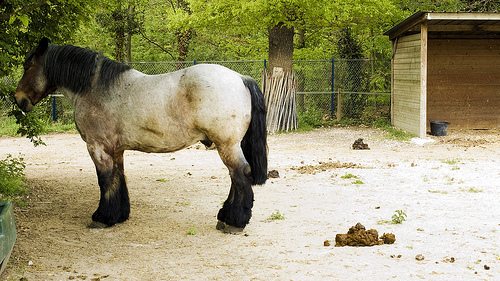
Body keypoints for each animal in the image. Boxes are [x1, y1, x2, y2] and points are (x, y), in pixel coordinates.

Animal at [13, 38, 268, 231]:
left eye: (28, 66)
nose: (18, 99)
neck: (95, 88)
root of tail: (240, 78)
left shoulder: (97, 148)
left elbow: (104, 180)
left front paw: (101, 217)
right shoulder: (115, 150)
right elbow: (118, 178)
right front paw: (118, 215)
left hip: (227, 145)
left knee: (240, 174)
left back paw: (233, 222)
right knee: (235, 177)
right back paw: (225, 216)